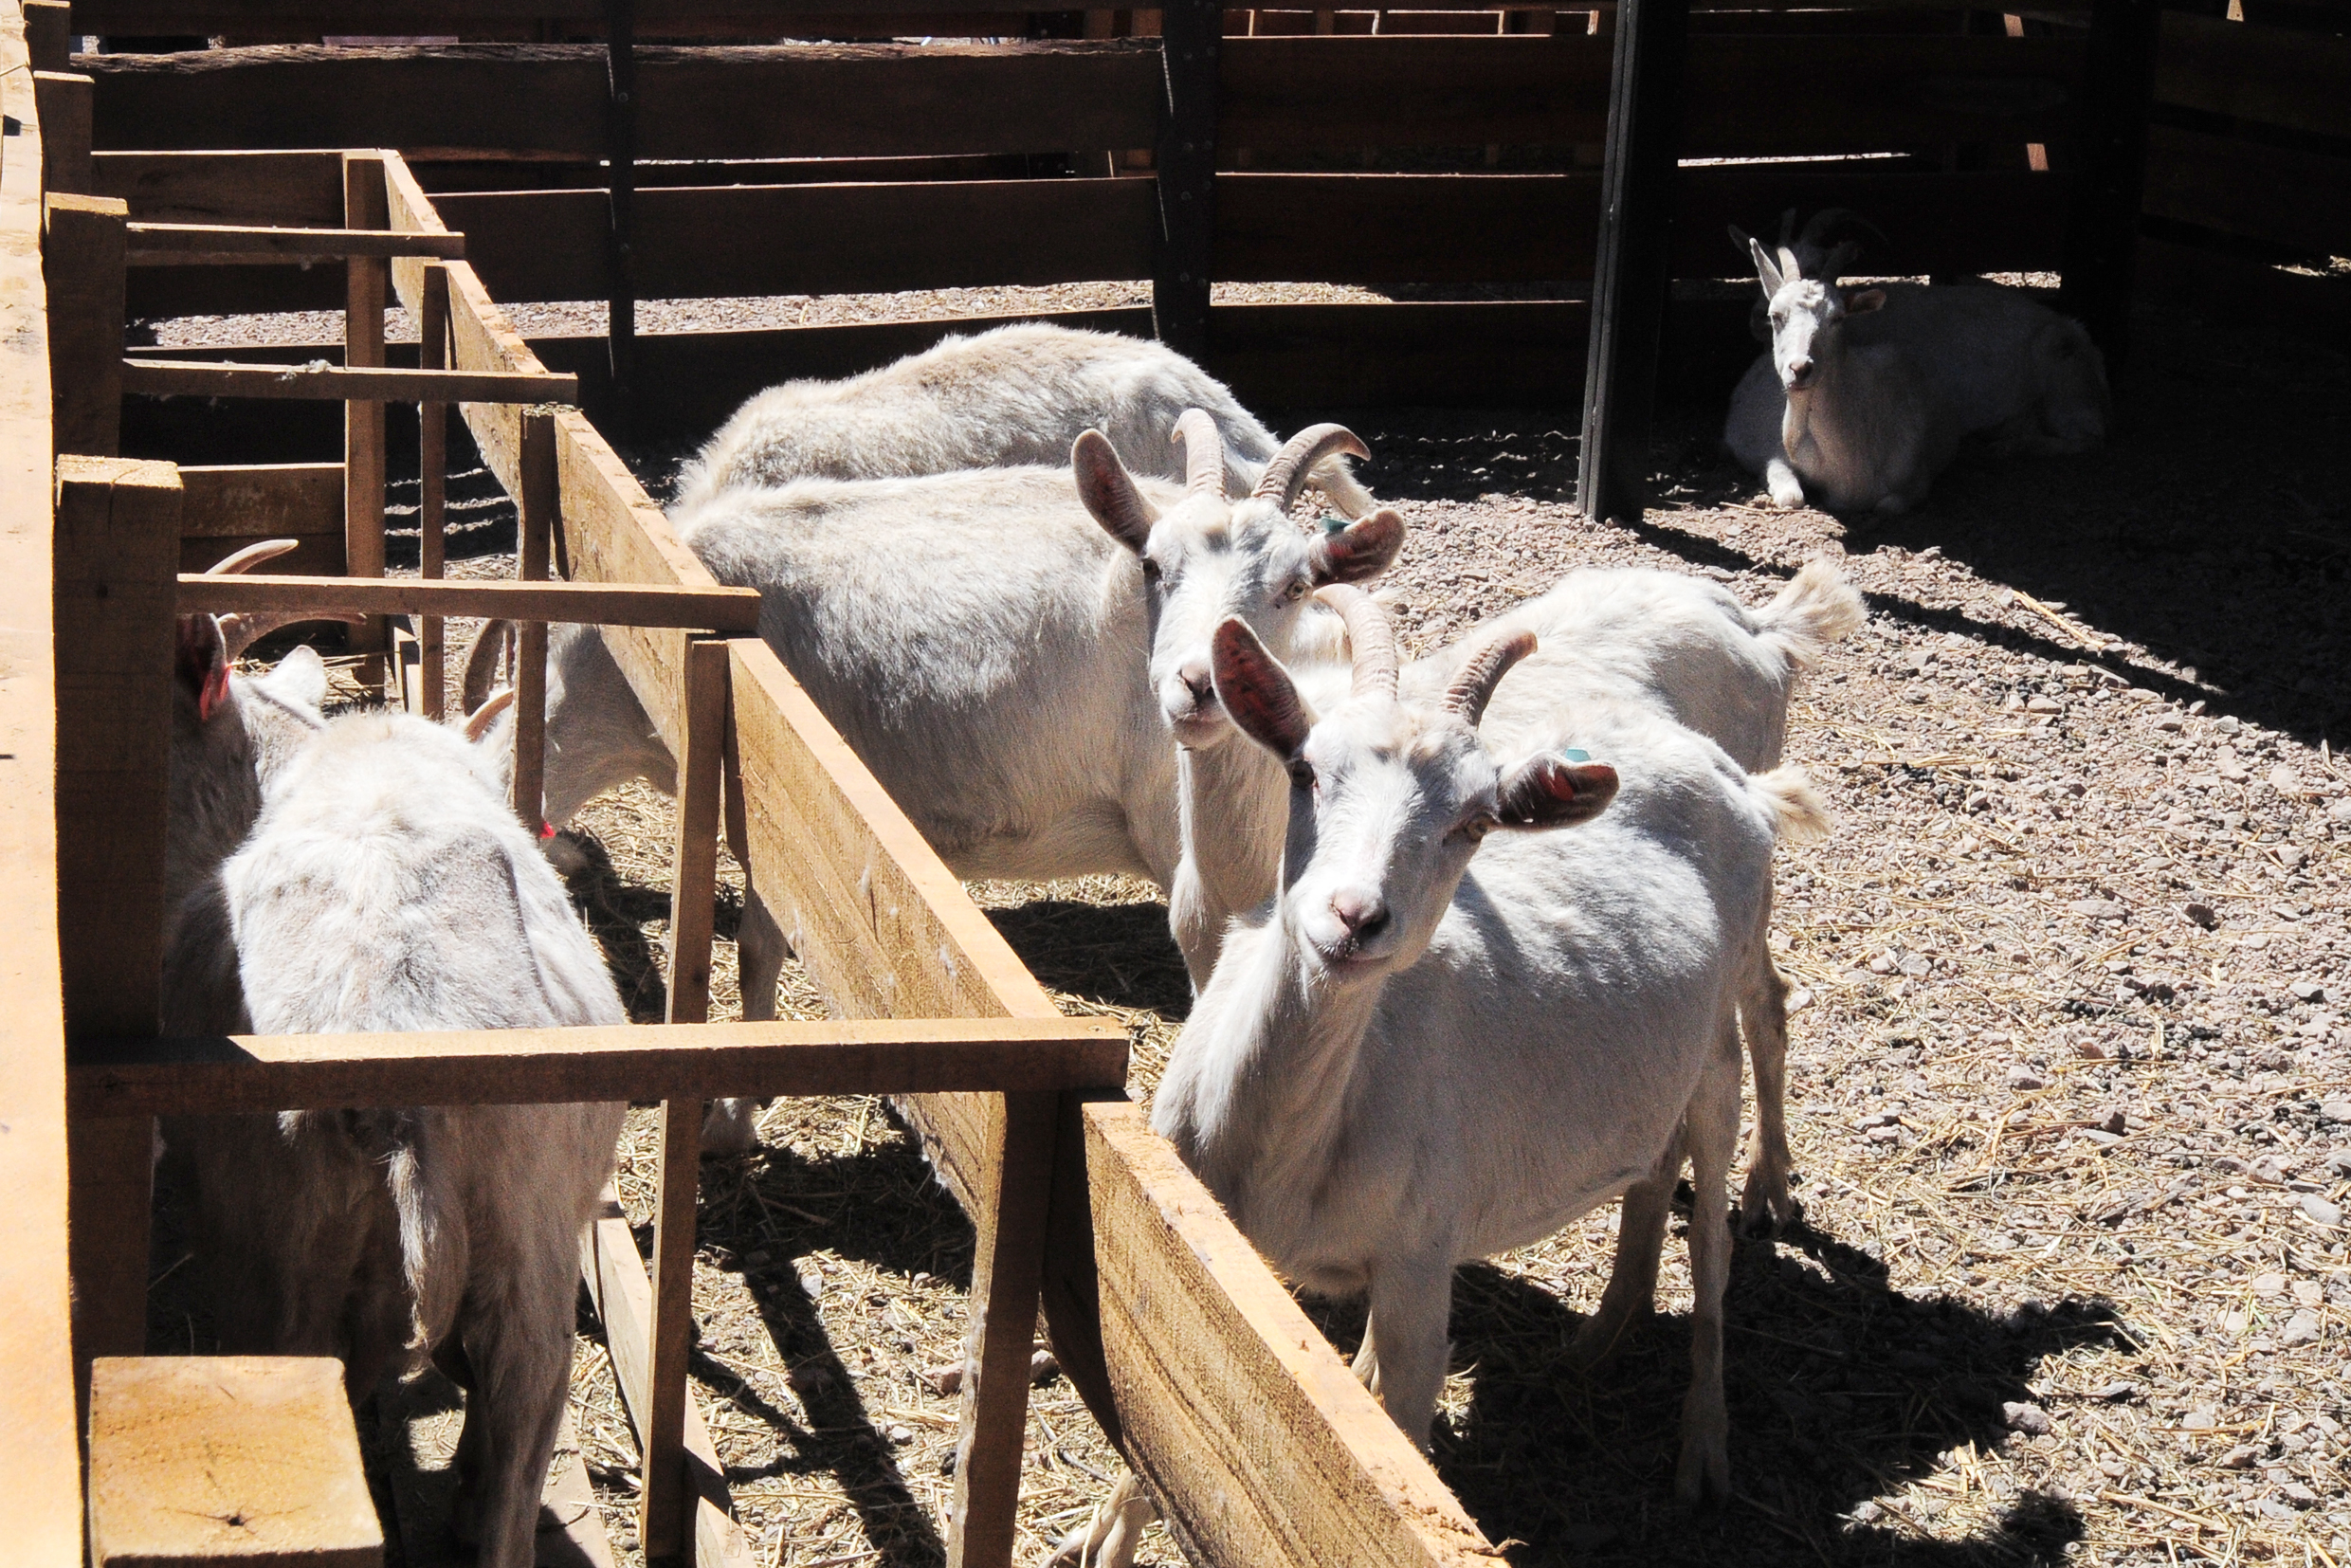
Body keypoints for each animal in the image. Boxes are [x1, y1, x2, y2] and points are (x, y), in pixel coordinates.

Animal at [467, 415, 1401, 1152]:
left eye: (1290, 579)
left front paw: (727, 1123)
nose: (1201, 681)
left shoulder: (775, 792)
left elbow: (760, 953)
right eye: (1153, 565)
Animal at [1058, 592, 1824, 1568]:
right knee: (1653, 1166)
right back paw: (1597, 1341)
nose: (1355, 917)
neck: (1281, 1143)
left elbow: (1400, 1439)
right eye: (1306, 770)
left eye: (1474, 821)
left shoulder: (1421, 1266)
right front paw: (1100, 1532)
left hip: (1718, 1048)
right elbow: (1162, 1388)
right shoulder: (1204, 1231)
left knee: (1714, 1229)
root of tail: (1730, 774)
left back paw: (1703, 1449)